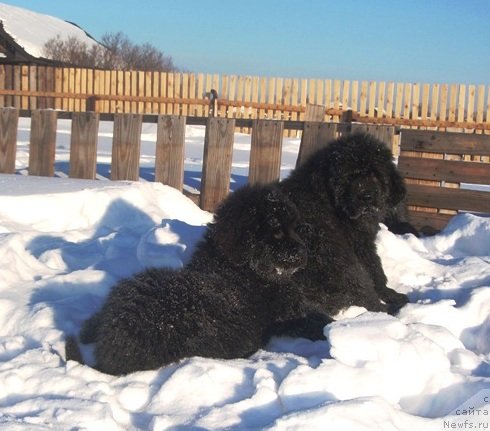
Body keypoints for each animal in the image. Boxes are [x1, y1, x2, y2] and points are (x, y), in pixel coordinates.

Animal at [68, 184, 330, 376]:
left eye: (295, 227)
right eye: (275, 230)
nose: (302, 253)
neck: (236, 266)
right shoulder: (290, 314)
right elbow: (318, 321)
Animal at [280, 132, 410, 318]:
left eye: (375, 175)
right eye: (349, 177)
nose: (366, 196)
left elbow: (375, 269)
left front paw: (388, 292)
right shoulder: (358, 244)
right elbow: (374, 269)